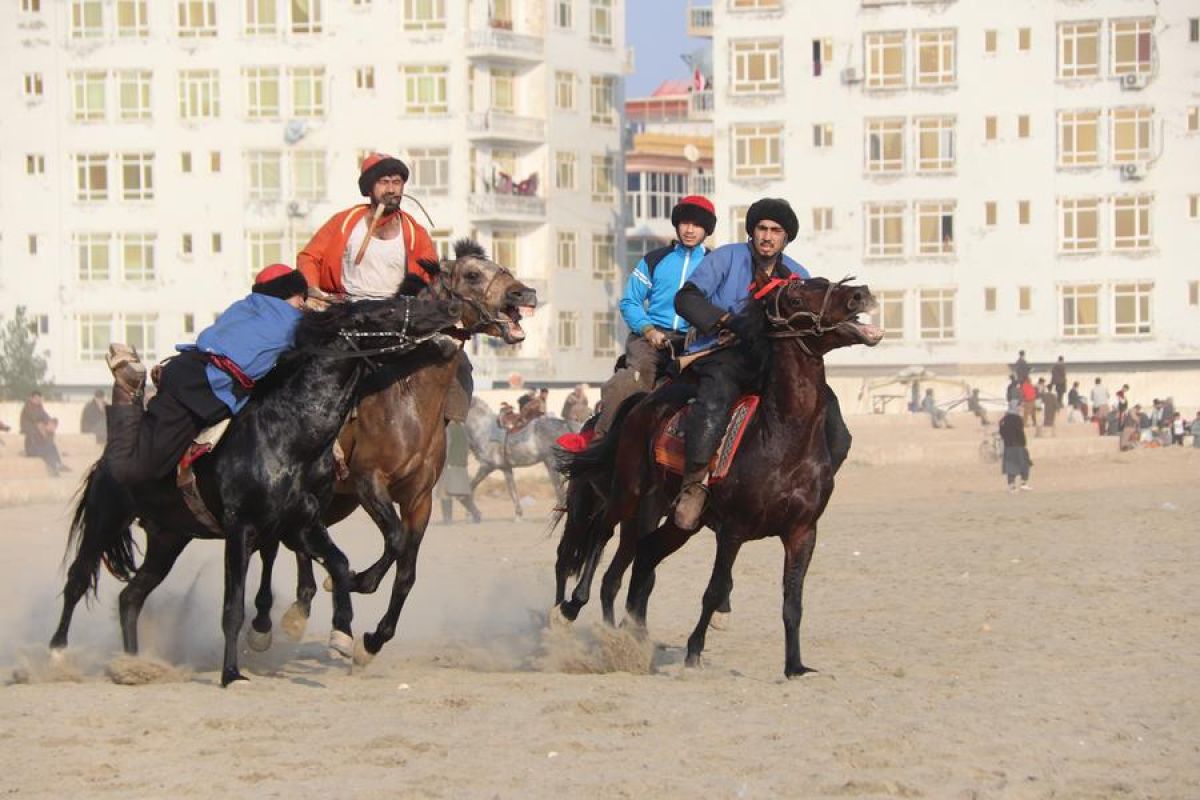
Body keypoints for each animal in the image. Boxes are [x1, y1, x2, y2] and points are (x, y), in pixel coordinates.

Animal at [49, 291, 458, 686]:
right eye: (386, 311)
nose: (448, 309)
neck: (289, 435)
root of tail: (106, 459)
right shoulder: (241, 529)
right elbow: (233, 608)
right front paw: (232, 674)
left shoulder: (302, 525)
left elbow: (340, 564)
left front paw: (343, 631)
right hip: (106, 520)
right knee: (77, 580)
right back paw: (58, 655)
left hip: (168, 538)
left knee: (130, 597)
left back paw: (132, 664)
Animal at [285, 237, 535, 662]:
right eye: (472, 273)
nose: (524, 293)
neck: (407, 396)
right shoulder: (369, 481)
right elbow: (396, 541)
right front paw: (354, 583)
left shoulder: (420, 497)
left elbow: (407, 570)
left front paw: (372, 640)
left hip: (337, 500)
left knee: (305, 537)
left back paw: (308, 615)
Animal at [552, 278, 883, 681]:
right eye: (794, 297)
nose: (860, 293)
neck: (782, 437)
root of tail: (643, 404)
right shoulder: (734, 530)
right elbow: (716, 588)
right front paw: (694, 651)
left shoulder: (803, 532)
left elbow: (793, 601)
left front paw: (795, 666)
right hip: (630, 493)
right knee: (600, 535)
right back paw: (572, 608)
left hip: (680, 522)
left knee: (643, 558)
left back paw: (633, 638)